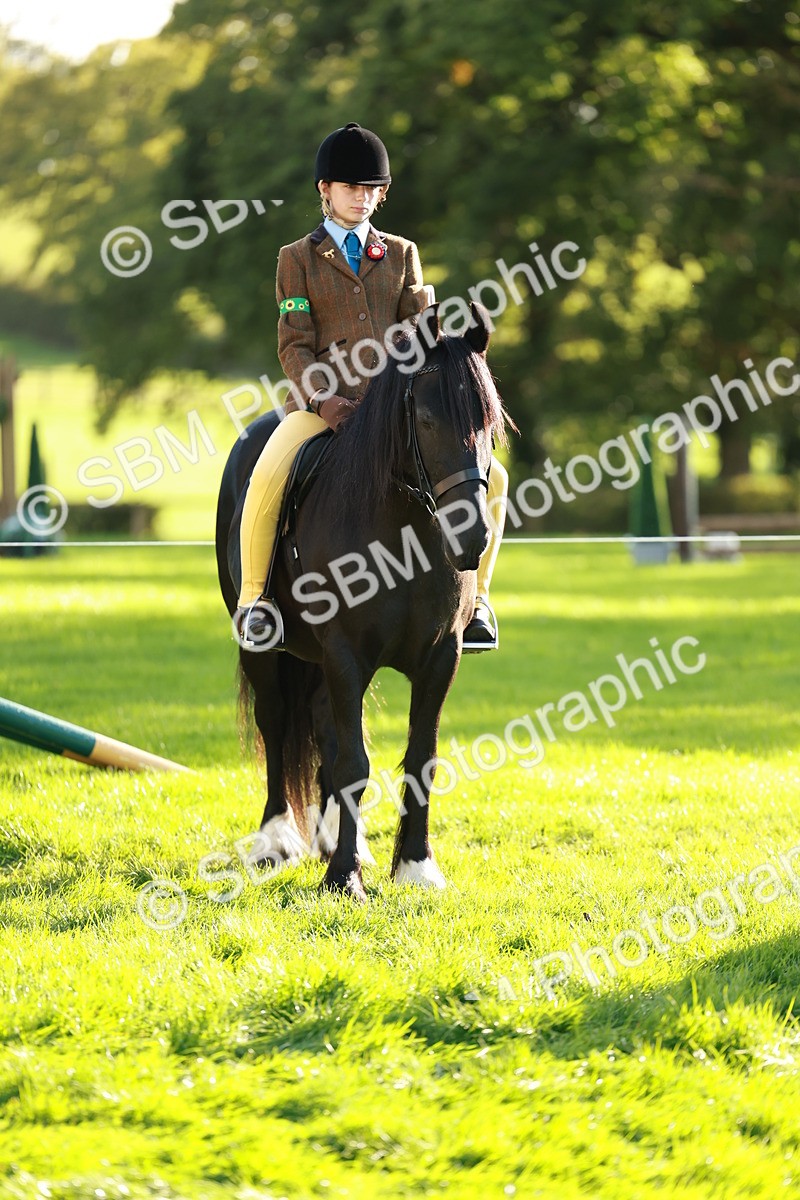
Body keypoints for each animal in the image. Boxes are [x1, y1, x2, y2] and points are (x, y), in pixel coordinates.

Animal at [215, 302, 509, 901]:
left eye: (487, 422)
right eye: (426, 419)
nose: (471, 538)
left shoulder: (441, 656)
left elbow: (421, 758)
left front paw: (415, 866)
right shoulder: (346, 654)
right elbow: (354, 761)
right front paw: (342, 878)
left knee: (322, 726)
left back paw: (335, 840)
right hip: (268, 654)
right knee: (277, 725)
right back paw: (276, 842)